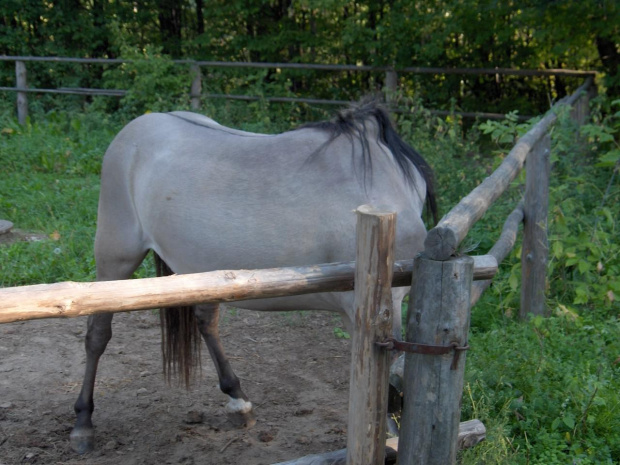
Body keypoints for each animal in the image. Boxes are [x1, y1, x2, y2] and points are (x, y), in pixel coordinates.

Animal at [70, 99, 438, 454]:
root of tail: (137, 127)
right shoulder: (371, 306)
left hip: (200, 271)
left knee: (205, 322)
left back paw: (239, 402)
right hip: (115, 259)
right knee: (97, 335)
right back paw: (83, 424)